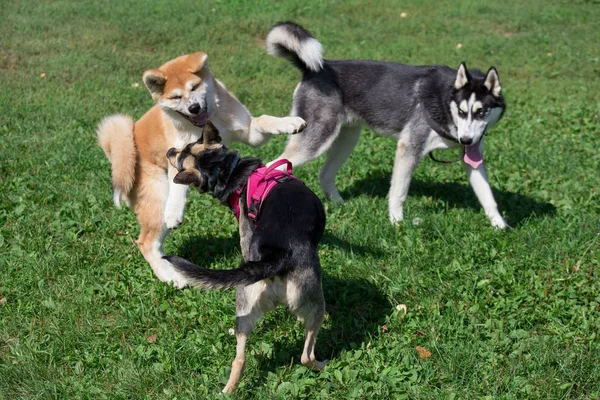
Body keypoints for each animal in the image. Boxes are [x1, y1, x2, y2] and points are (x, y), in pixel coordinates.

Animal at [99, 52, 308, 288]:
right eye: (175, 97)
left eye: (195, 86)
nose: (194, 108)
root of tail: (123, 151)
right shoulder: (179, 152)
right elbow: (177, 183)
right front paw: (174, 213)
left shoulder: (250, 133)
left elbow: (265, 120)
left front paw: (291, 123)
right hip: (157, 198)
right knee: (146, 242)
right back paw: (170, 276)